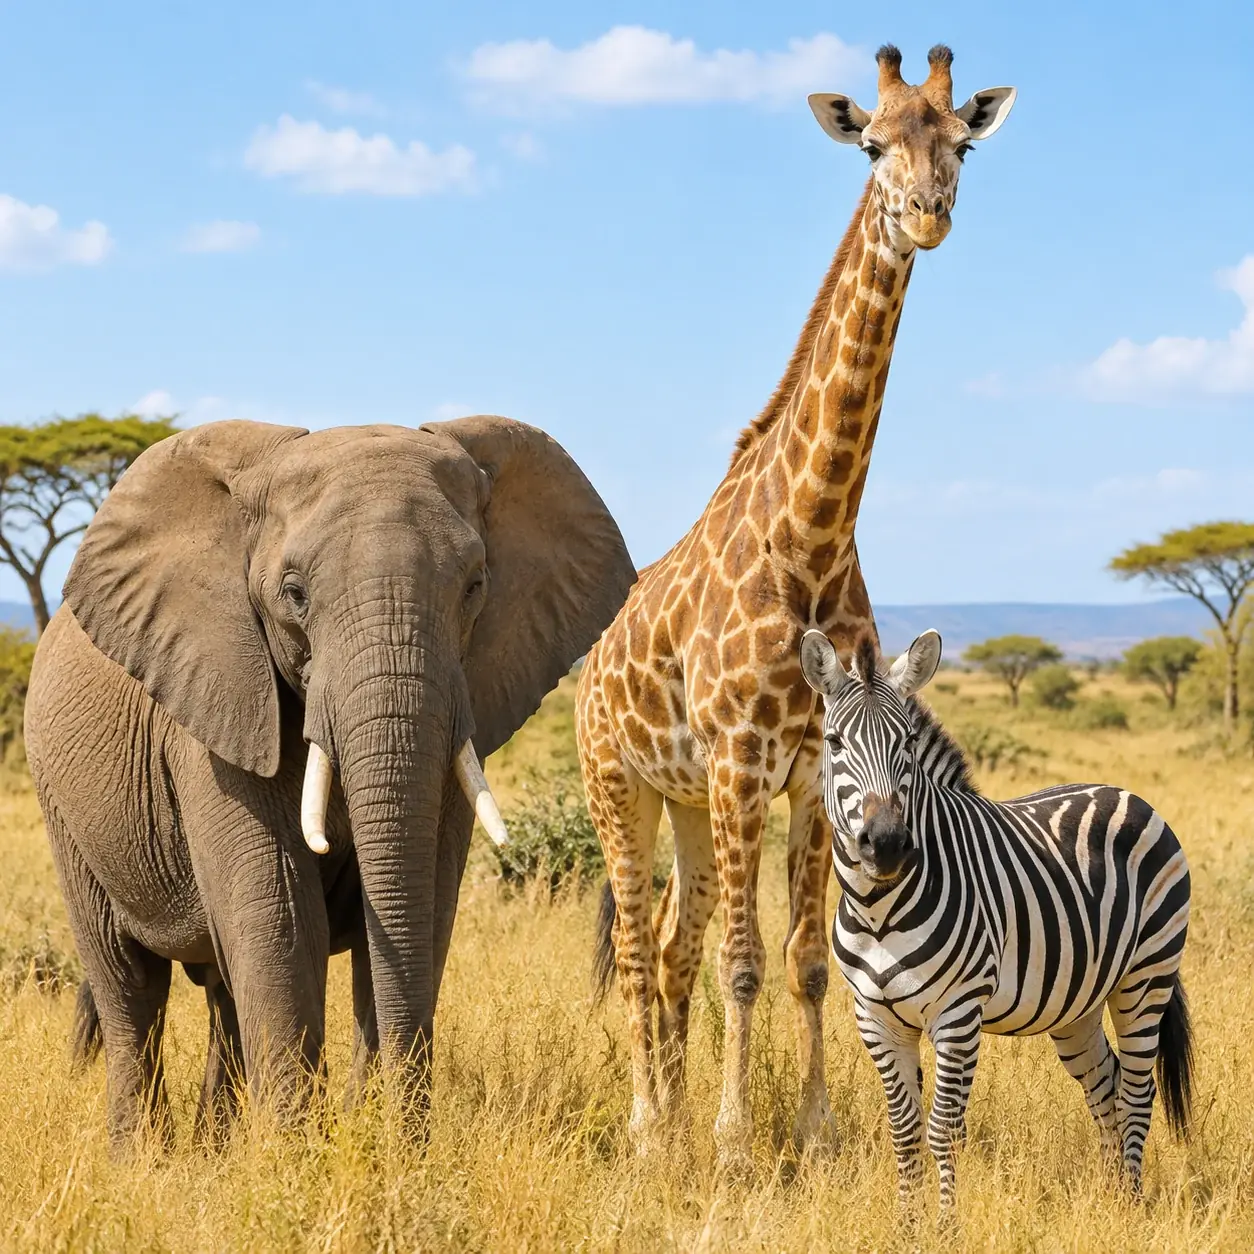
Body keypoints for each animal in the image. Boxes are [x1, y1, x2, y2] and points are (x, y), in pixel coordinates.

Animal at [24, 417, 635, 1148]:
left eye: (475, 585)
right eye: (294, 593)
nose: (403, 1133)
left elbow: (422, 905)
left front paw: (368, 1148)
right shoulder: (216, 703)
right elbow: (282, 918)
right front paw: (298, 1157)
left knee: (221, 992)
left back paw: (218, 1149)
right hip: (60, 803)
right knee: (129, 985)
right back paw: (144, 1160)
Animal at [576, 44, 1016, 1164]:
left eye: (962, 145)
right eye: (872, 143)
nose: (927, 212)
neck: (809, 540)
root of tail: (591, 663)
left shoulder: (816, 773)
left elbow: (809, 961)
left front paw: (811, 1133)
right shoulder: (742, 759)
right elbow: (744, 963)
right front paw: (736, 1141)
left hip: (688, 800)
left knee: (675, 945)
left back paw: (673, 1108)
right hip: (618, 784)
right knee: (641, 946)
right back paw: (651, 1127)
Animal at [799, 627, 1193, 1210]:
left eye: (907, 744)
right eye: (833, 743)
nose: (887, 844)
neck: (878, 911)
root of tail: (1125, 792)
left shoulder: (959, 1012)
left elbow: (941, 1128)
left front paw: (945, 1221)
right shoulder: (874, 1017)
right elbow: (903, 1127)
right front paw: (907, 1219)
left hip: (1147, 976)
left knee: (1137, 1091)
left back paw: (1132, 1202)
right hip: (1078, 1003)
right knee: (1106, 1084)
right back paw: (1110, 1194)